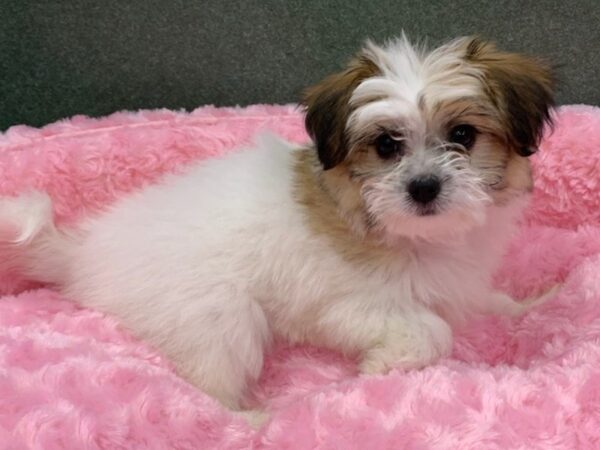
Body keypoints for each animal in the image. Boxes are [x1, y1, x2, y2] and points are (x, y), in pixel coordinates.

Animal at [0, 36, 552, 412]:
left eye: (463, 135)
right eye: (386, 146)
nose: (423, 187)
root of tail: (84, 251)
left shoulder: (457, 280)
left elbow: (481, 302)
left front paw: (531, 303)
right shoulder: (342, 306)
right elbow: (430, 329)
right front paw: (383, 364)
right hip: (216, 316)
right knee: (207, 384)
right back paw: (249, 422)